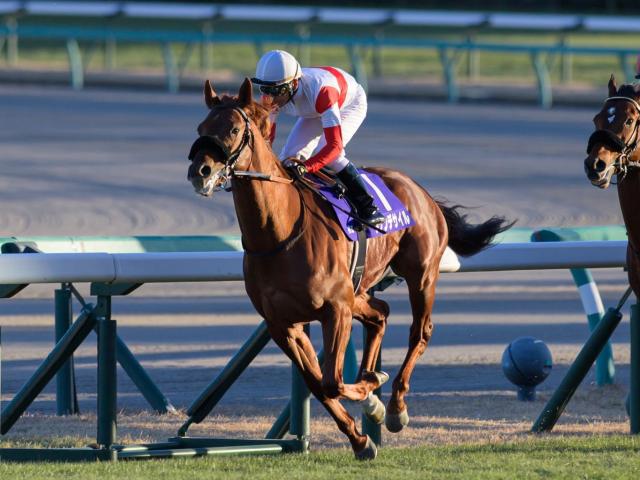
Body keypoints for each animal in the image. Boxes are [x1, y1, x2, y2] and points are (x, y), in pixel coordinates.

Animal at [187, 78, 512, 459]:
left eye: (234, 129)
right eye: (201, 128)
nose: (200, 172)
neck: (279, 234)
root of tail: (420, 190)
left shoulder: (335, 310)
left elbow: (331, 381)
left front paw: (372, 393)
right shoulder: (283, 324)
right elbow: (317, 384)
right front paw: (361, 435)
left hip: (421, 274)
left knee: (420, 331)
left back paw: (395, 406)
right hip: (358, 289)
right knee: (381, 313)